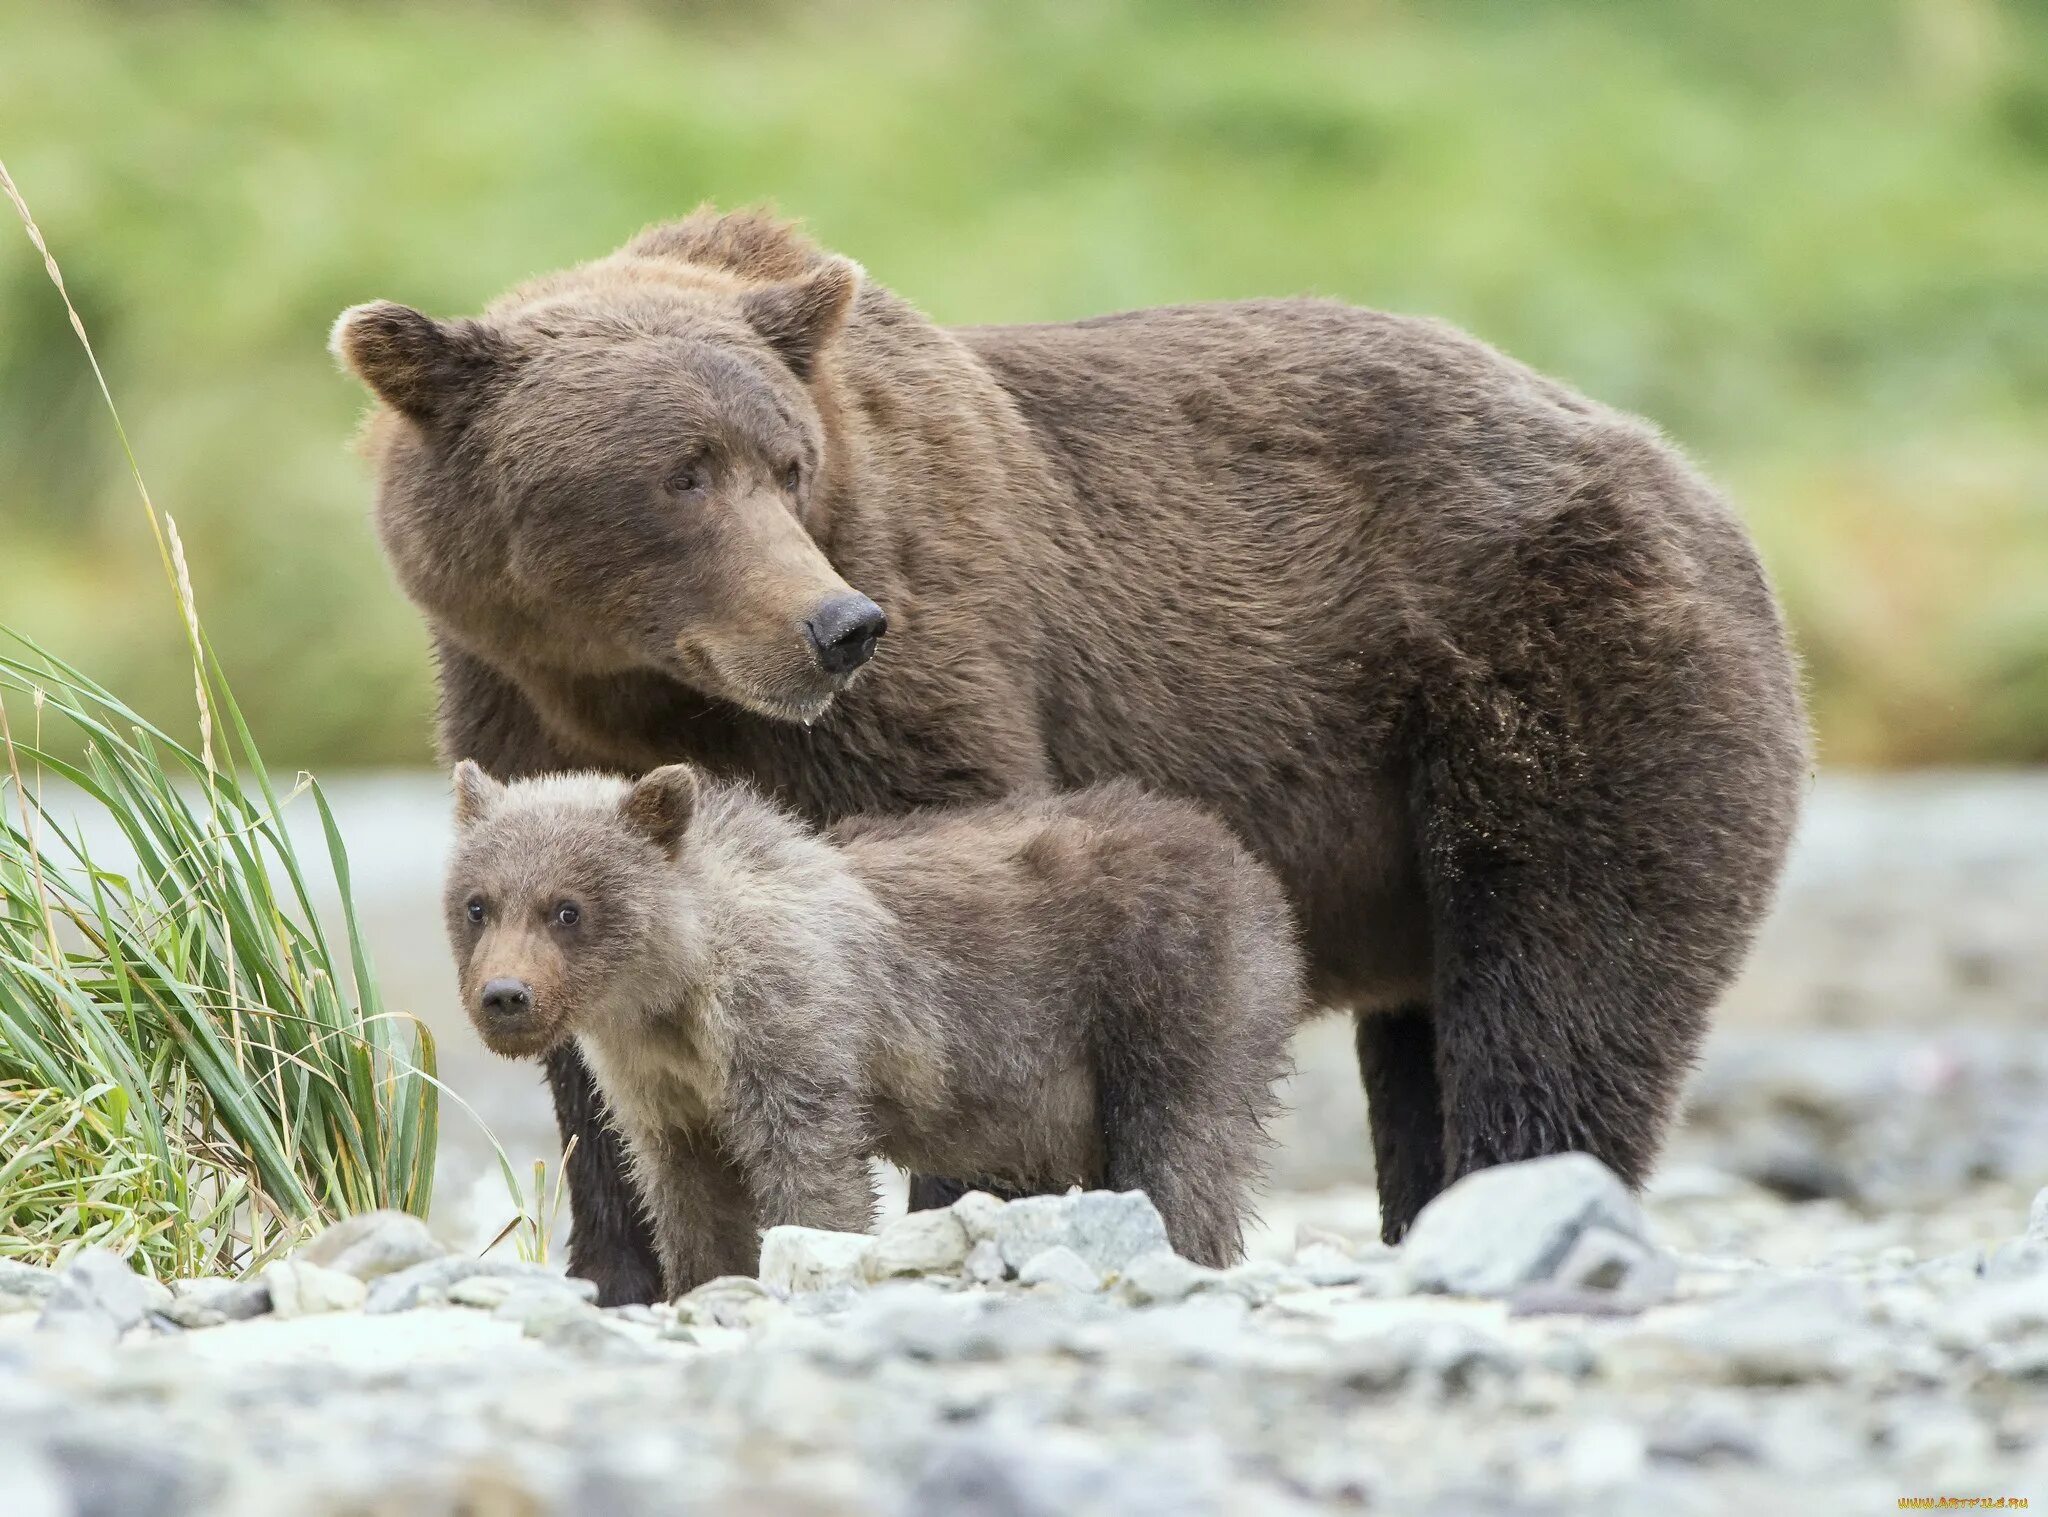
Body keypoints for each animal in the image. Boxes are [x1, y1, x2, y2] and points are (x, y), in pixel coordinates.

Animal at [444, 761, 1294, 1285]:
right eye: (478, 903)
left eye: (567, 908)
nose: (506, 995)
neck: (674, 987)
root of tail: (1239, 856)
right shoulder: (659, 1081)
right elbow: (689, 1190)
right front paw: (702, 1278)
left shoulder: (787, 1022)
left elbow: (810, 1164)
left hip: (1167, 992)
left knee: (1180, 1146)